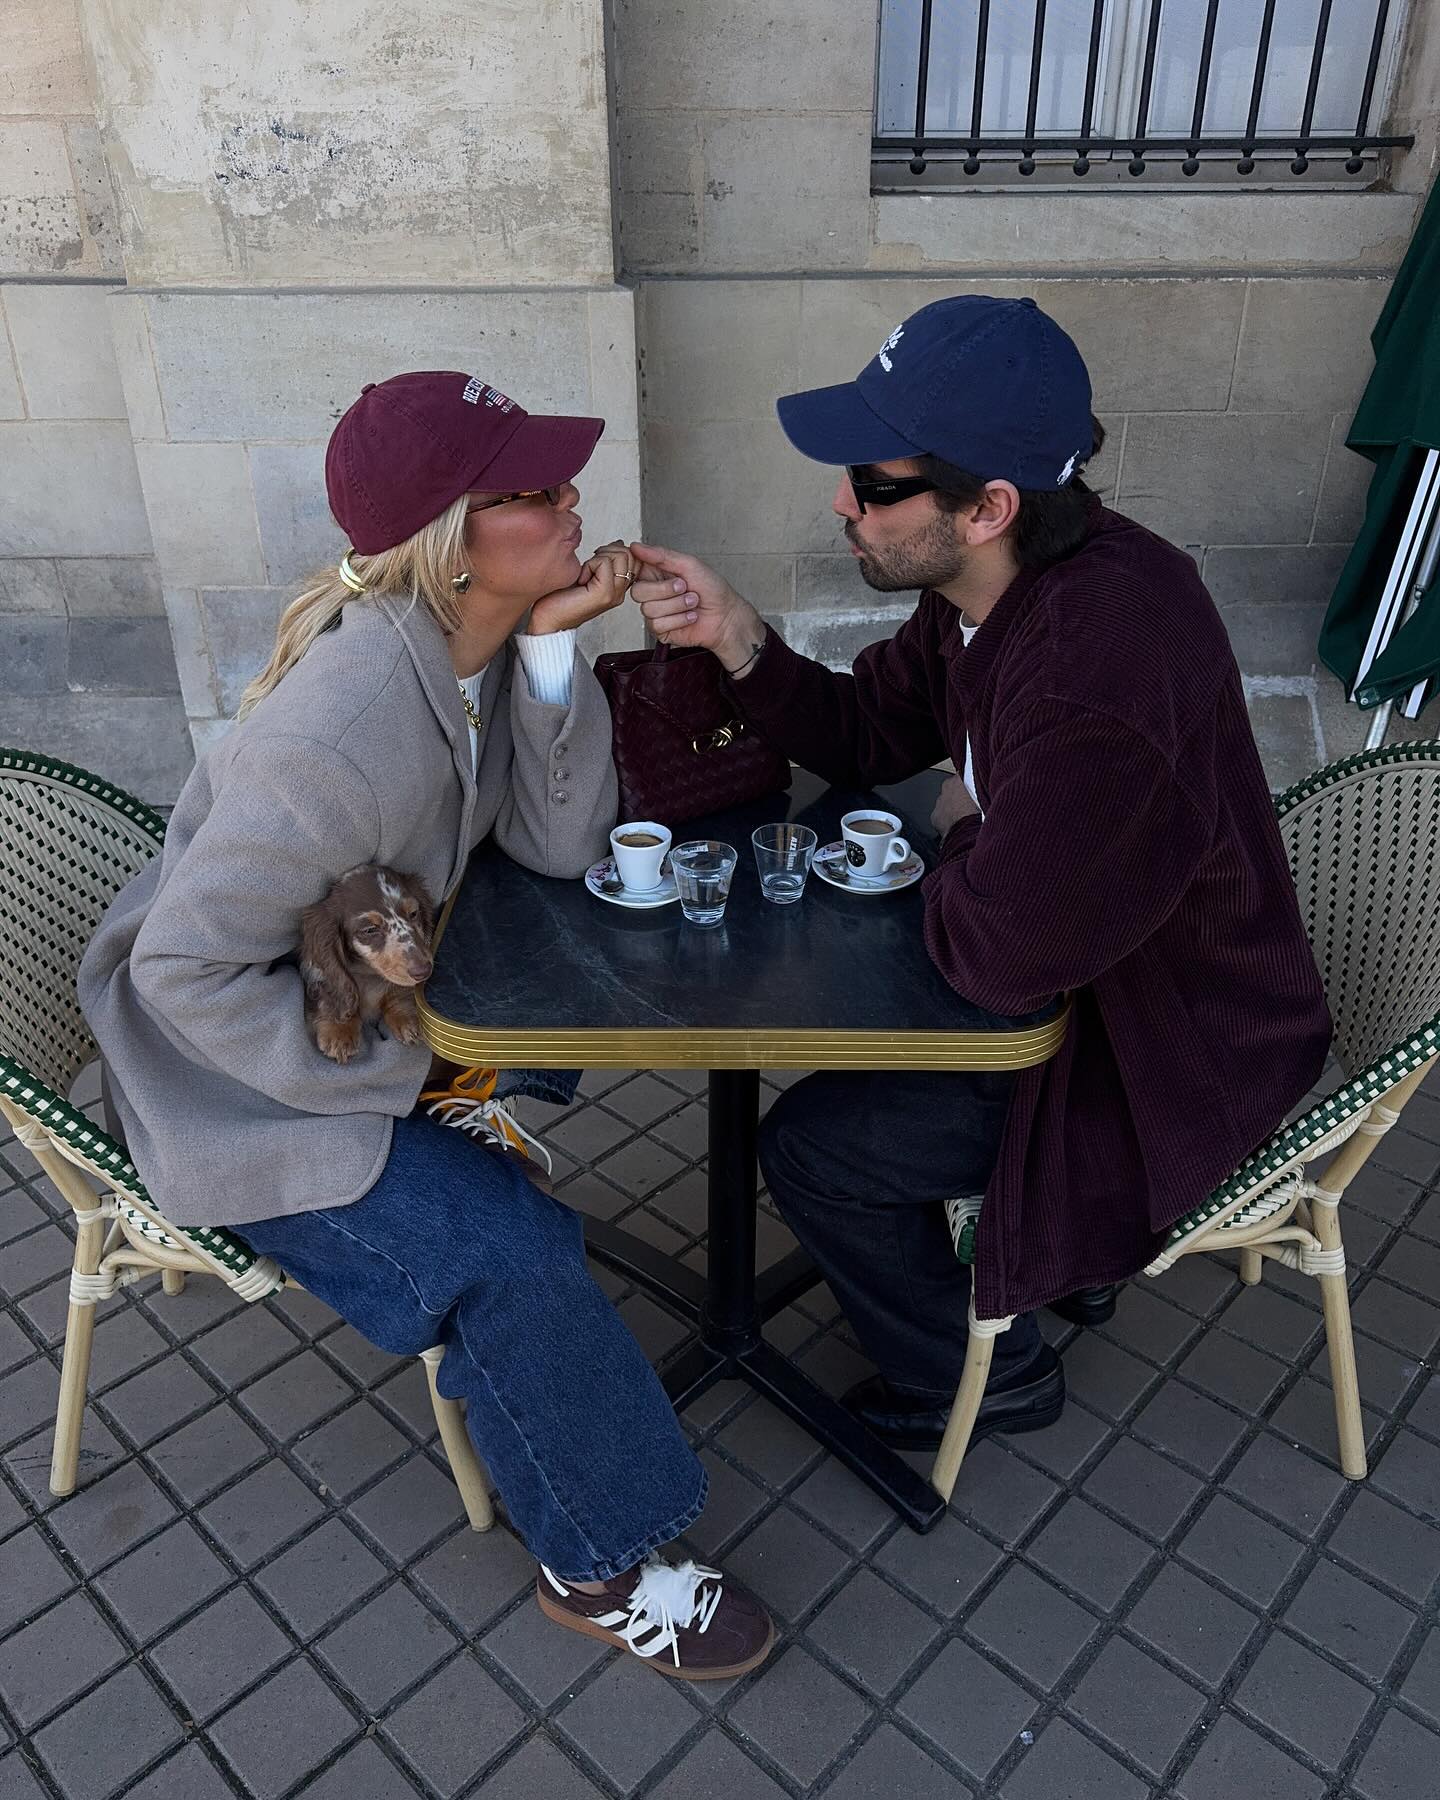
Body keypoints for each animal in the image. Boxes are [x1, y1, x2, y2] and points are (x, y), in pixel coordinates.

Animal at [300, 864, 435, 1058]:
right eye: (370, 929)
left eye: (414, 913)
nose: (424, 970)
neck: (368, 974)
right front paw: (339, 1030)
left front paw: (406, 1015)